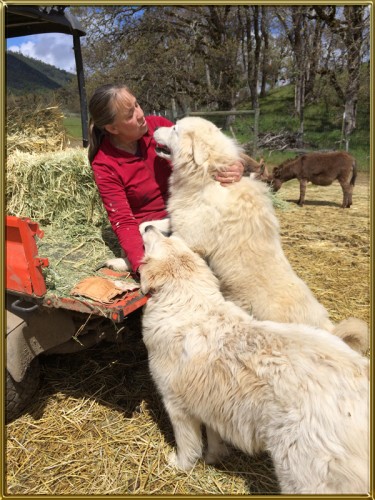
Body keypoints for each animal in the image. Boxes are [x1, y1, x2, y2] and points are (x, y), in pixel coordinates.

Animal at [141, 227, 370, 496]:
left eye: (159, 242)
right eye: (170, 239)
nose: (149, 227)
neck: (187, 302)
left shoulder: (176, 406)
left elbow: (188, 445)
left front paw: (179, 465)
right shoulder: (211, 402)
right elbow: (214, 437)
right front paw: (214, 457)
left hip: (301, 473)